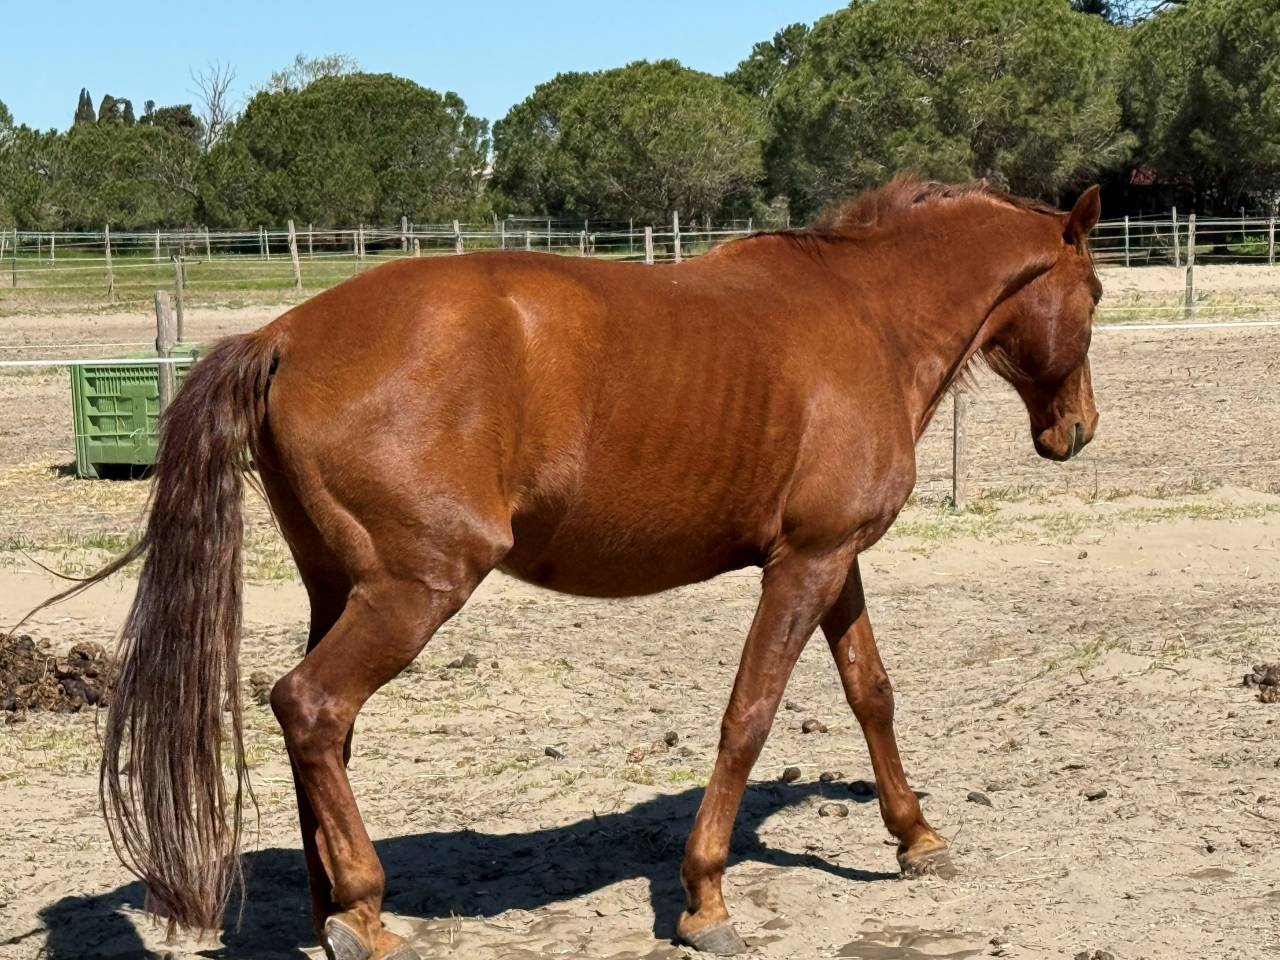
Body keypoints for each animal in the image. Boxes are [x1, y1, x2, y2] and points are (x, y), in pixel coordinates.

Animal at [51, 176, 1101, 959]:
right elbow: (750, 716)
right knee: (310, 705)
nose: (1078, 431)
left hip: (339, 589)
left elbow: (870, 693)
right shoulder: (803, 564)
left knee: (323, 730)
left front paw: (917, 837)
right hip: (416, 590)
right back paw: (366, 912)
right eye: (1093, 297)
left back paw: (334, 911)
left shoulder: (834, 561)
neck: (866, 314)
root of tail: (284, 336)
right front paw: (706, 899)